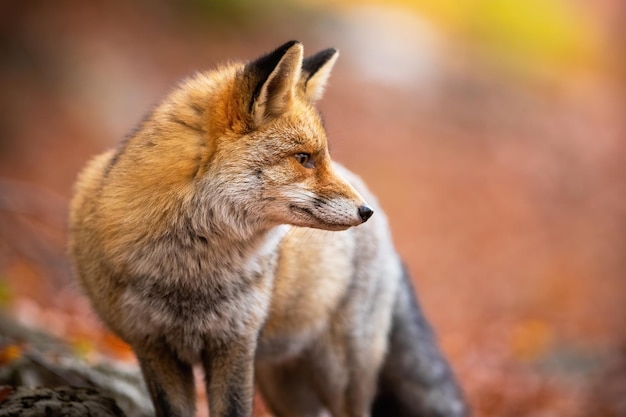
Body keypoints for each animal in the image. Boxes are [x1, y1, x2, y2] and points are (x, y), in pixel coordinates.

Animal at [70, 41, 466, 416]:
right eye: (304, 158)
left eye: (322, 156)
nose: (363, 210)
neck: (188, 275)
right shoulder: (152, 346)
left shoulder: (235, 344)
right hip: (282, 385)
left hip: (338, 375)